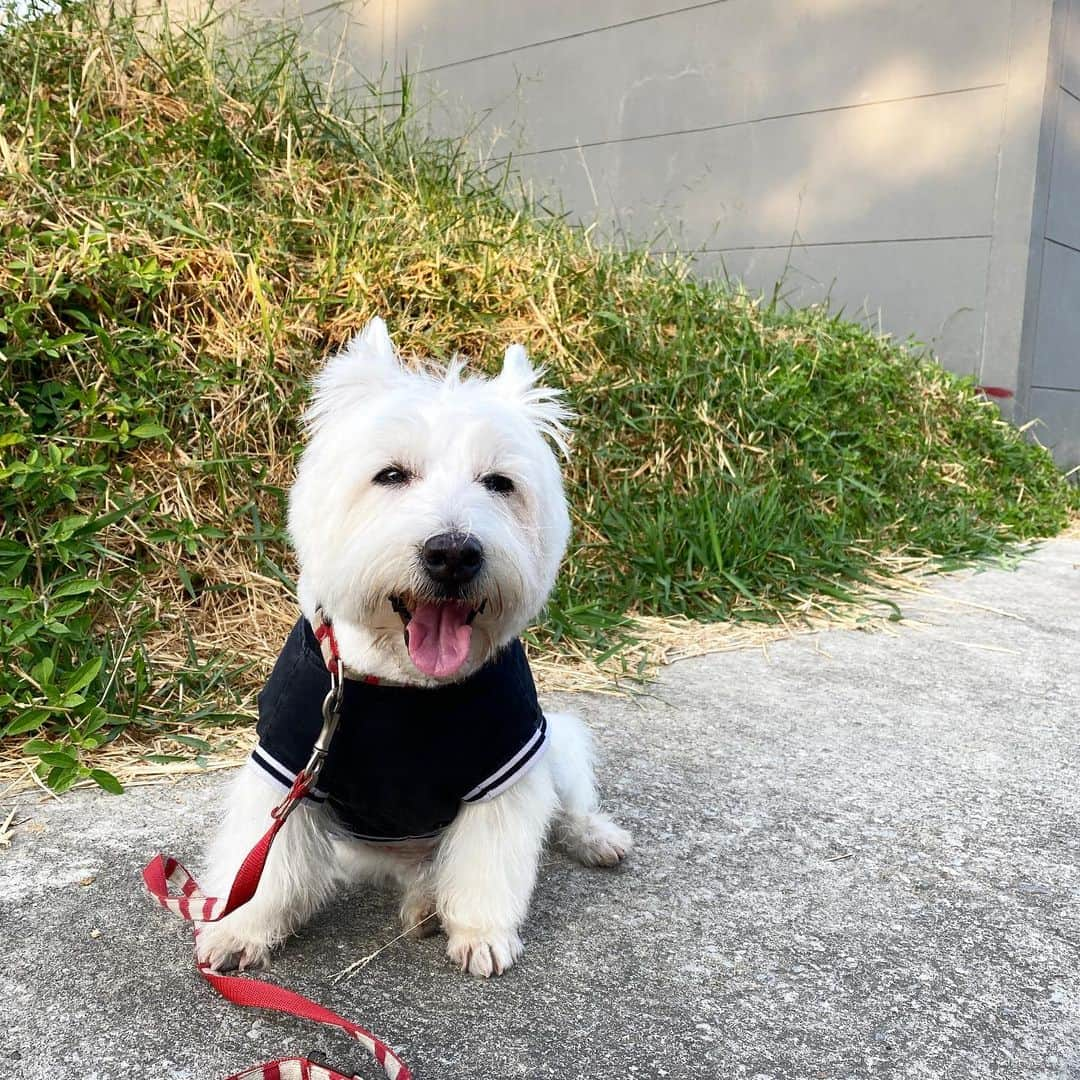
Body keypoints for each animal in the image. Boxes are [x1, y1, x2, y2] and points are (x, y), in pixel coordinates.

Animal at [198, 315, 630, 976]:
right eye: (392, 475)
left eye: (499, 483)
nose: (453, 553)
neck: (403, 683)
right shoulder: (288, 763)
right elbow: (264, 862)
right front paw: (238, 928)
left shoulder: (506, 764)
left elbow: (487, 864)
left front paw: (481, 932)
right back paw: (425, 903)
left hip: (554, 741)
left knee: (565, 808)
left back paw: (591, 839)